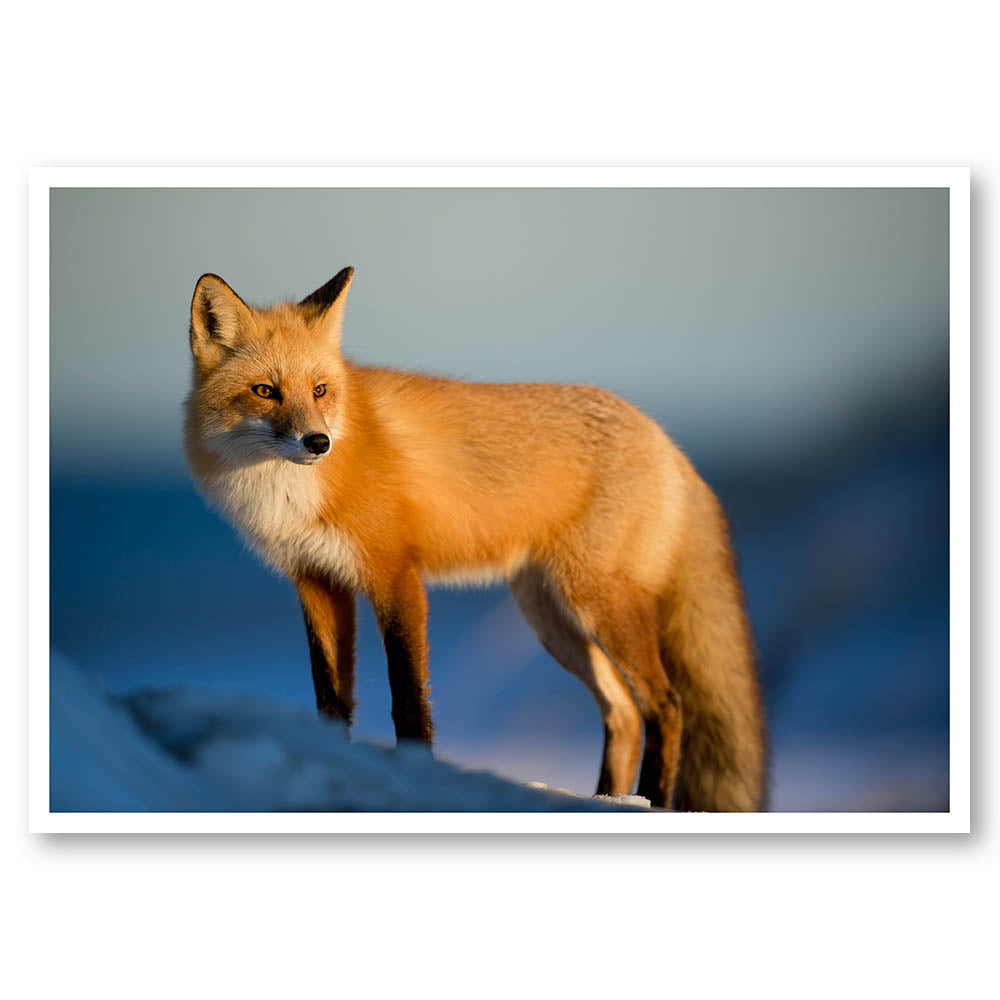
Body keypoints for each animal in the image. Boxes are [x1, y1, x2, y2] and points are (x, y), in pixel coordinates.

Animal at [183, 266, 767, 810]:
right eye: (265, 391)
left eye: (320, 390)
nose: (318, 442)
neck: (289, 494)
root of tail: (666, 440)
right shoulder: (316, 580)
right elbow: (330, 699)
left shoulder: (395, 575)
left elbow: (408, 699)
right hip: (551, 618)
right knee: (622, 712)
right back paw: (606, 799)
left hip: (598, 603)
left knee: (666, 705)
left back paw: (650, 801)